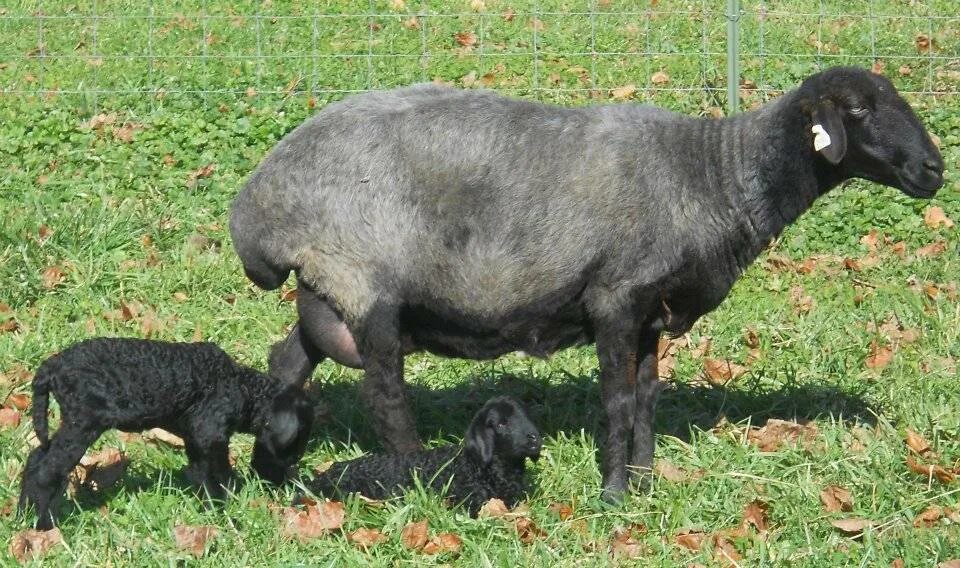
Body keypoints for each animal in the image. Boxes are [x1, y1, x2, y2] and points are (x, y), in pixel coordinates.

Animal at [16, 338, 314, 528]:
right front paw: (227, 505)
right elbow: (219, 473)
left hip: (73, 422)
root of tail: (52, 367)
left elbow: (201, 473)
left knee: (36, 459)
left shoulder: (196, 437)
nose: (286, 481)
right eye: (295, 444)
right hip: (83, 422)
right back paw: (43, 526)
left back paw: (25, 514)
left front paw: (212, 505)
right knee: (46, 471)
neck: (243, 387)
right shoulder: (211, 433)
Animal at [232, 67, 944, 502]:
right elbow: (618, 401)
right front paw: (614, 494)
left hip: (325, 291)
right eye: (859, 110)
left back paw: (271, 472)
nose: (936, 169)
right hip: (364, 284)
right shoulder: (613, 300)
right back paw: (418, 478)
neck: (713, 175)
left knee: (287, 364)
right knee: (385, 395)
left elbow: (649, 399)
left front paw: (648, 481)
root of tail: (256, 208)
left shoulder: (652, 312)